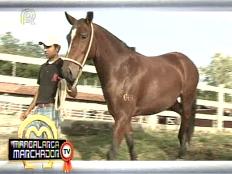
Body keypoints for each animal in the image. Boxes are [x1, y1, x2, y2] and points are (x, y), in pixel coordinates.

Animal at [61, 11, 199, 160]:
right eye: (68, 37)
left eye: (84, 36)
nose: (66, 72)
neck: (122, 71)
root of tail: (188, 62)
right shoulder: (122, 116)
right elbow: (131, 144)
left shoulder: (122, 116)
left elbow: (112, 152)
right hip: (170, 102)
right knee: (183, 115)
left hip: (187, 97)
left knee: (186, 116)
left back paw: (182, 152)